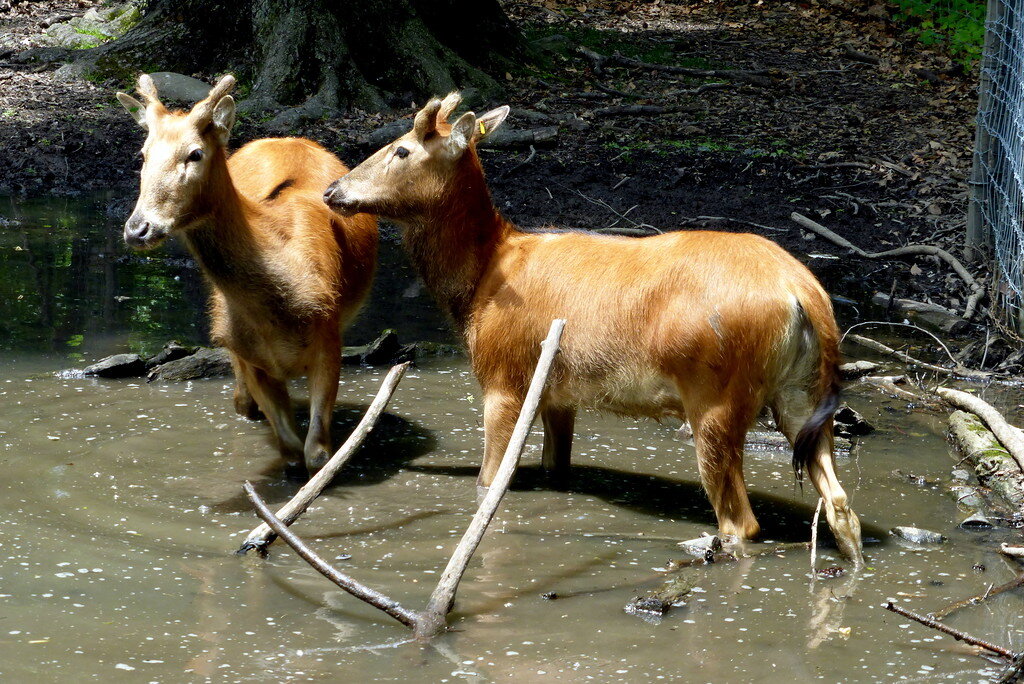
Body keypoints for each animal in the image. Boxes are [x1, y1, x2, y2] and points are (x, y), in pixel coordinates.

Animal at [119, 72, 376, 473]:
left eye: (195, 153)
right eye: (143, 154)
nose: (138, 228)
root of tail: (285, 138)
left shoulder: (329, 336)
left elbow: (317, 454)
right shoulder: (248, 355)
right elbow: (289, 451)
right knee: (241, 402)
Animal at [321, 93, 864, 565]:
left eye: (402, 148)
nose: (333, 191)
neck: (479, 284)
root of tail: (805, 296)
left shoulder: (503, 375)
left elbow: (487, 482)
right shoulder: (559, 393)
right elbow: (554, 469)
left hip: (716, 394)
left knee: (742, 522)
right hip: (804, 395)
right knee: (841, 505)